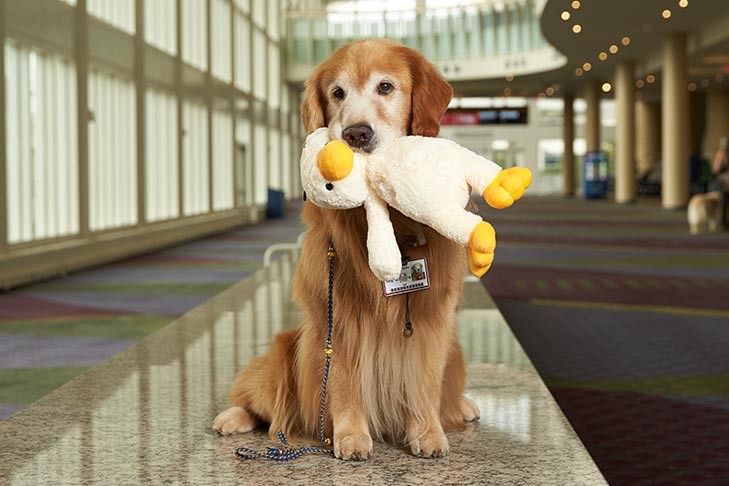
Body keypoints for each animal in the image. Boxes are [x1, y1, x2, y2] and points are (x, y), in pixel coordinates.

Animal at [216, 39, 478, 460]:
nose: (356, 134)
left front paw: (427, 433)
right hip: (285, 353)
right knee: (261, 399)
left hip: (455, 354)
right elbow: (343, 383)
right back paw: (232, 417)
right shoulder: (338, 316)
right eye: (337, 93)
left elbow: (423, 382)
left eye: (385, 87)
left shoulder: (432, 318)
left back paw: (461, 408)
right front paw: (351, 435)